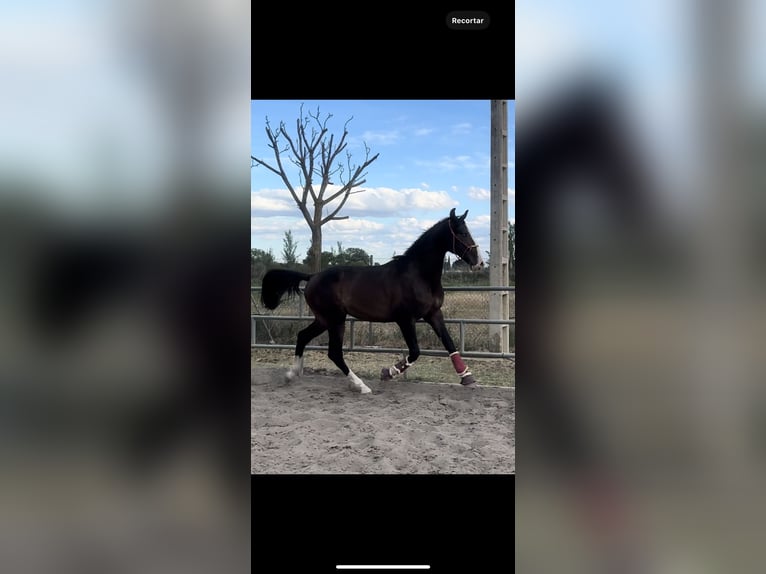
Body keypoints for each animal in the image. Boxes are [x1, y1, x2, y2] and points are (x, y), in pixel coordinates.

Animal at [260, 208, 484, 393]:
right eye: (462, 233)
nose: (479, 263)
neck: (418, 275)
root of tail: (312, 276)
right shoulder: (405, 319)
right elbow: (415, 352)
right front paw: (388, 372)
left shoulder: (434, 314)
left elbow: (449, 343)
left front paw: (467, 377)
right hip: (336, 319)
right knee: (334, 353)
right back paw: (360, 386)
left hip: (324, 319)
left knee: (303, 337)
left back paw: (291, 375)